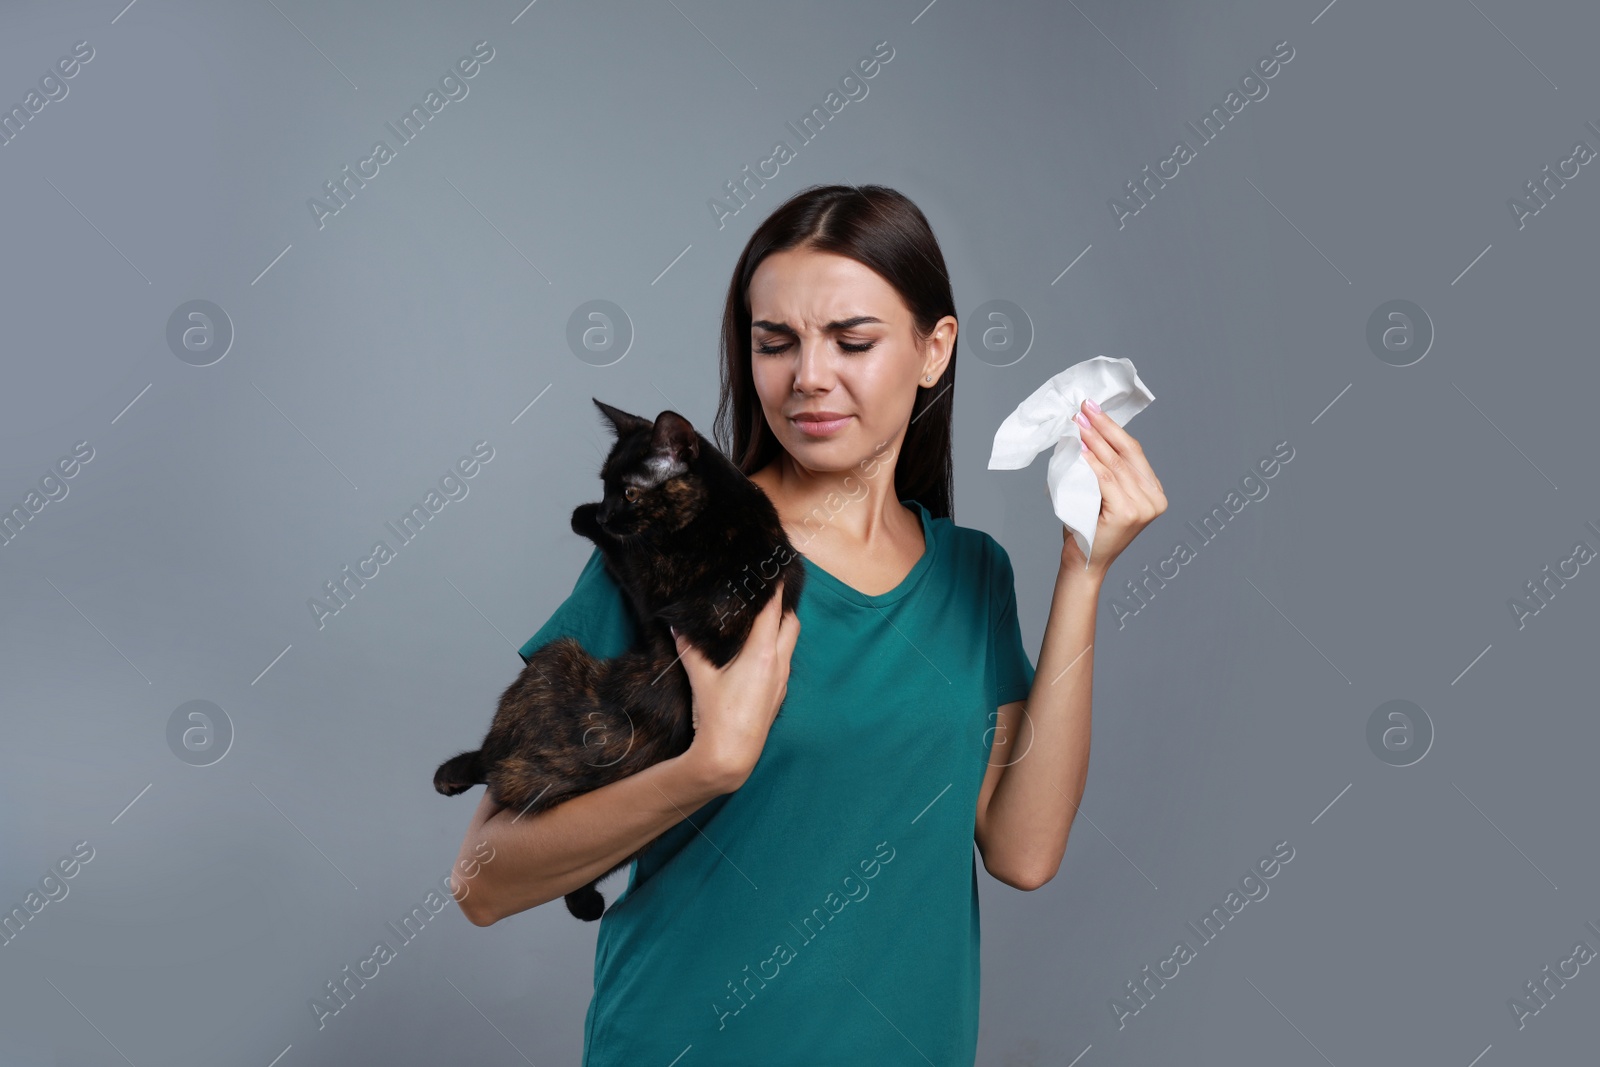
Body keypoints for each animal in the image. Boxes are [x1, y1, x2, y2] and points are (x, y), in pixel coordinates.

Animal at [435, 399, 800, 921]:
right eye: (605, 483)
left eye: (628, 492)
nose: (604, 513)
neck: (722, 507)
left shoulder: (649, 583)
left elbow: (625, 553)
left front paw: (581, 517)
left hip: (552, 661)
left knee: (491, 759)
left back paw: (451, 774)